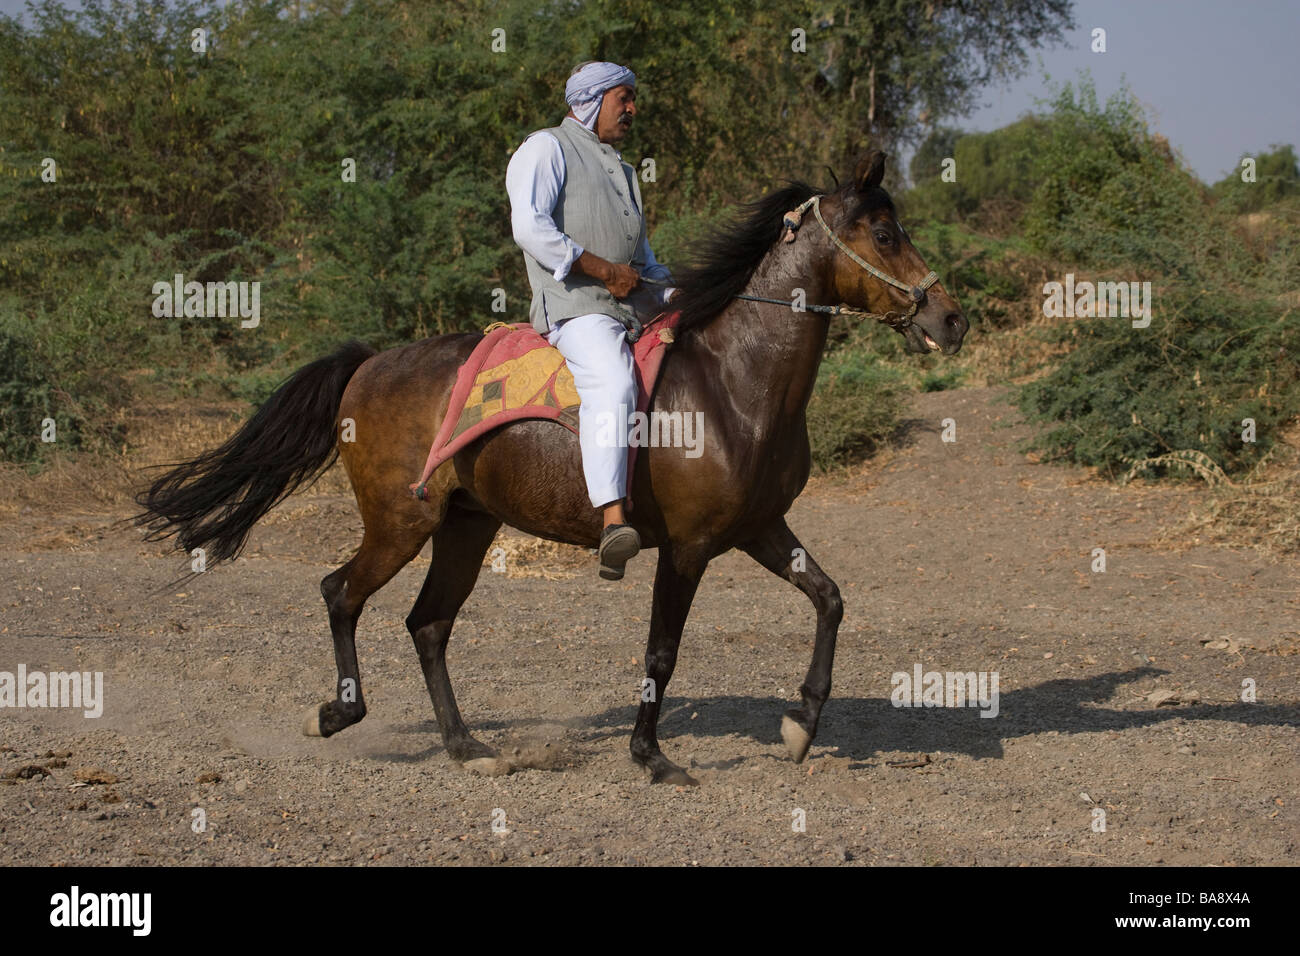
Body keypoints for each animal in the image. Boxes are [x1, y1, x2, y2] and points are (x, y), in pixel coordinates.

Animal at [137, 151, 967, 785]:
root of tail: (369, 362)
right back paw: (339, 712)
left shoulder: (761, 528)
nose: (949, 317)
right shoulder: (689, 548)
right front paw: (651, 756)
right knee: (341, 593)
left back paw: (467, 746)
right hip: (401, 523)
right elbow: (661, 651)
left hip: (465, 528)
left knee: (427, 624)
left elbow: (830, 600)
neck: (733, 380)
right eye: (885, 232)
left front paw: (801, 724)